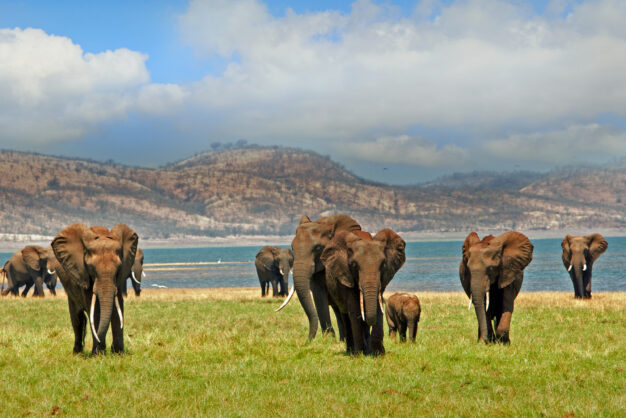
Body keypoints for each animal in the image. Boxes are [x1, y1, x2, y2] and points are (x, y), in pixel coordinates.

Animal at [52, 224, 138, 354]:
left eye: (118, 267)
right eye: (91, 268)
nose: (107, 349)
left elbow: (118, 305)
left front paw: (118, 353)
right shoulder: (83, 274)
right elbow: (94, 309)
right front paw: (98, 354)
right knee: (77, 318)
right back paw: (77, 352)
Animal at [274, 214, 358, 342]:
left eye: (318, 248)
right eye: (292, 248)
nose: (307, 341)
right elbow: (318, 294)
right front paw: (328, 340)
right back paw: (342, 340)